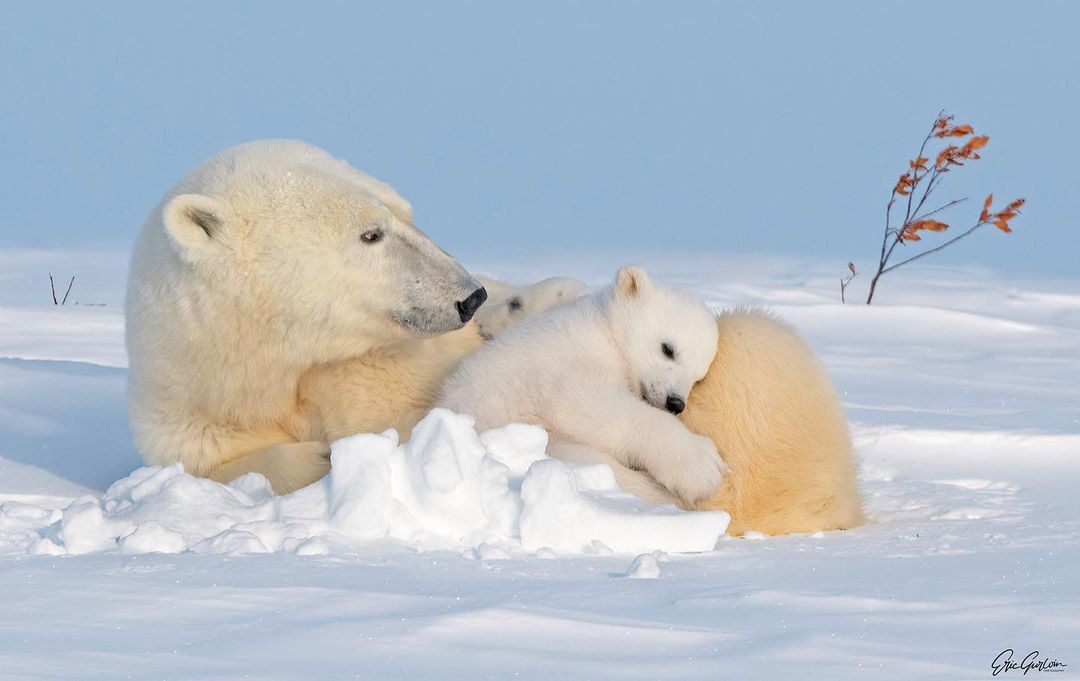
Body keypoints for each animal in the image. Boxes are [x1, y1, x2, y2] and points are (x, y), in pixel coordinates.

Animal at [123, 141, 490, 492]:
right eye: (371, 233)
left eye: (407, 213)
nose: (471, 297)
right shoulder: (191, 413)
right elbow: (215, 464)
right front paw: (319, 456)